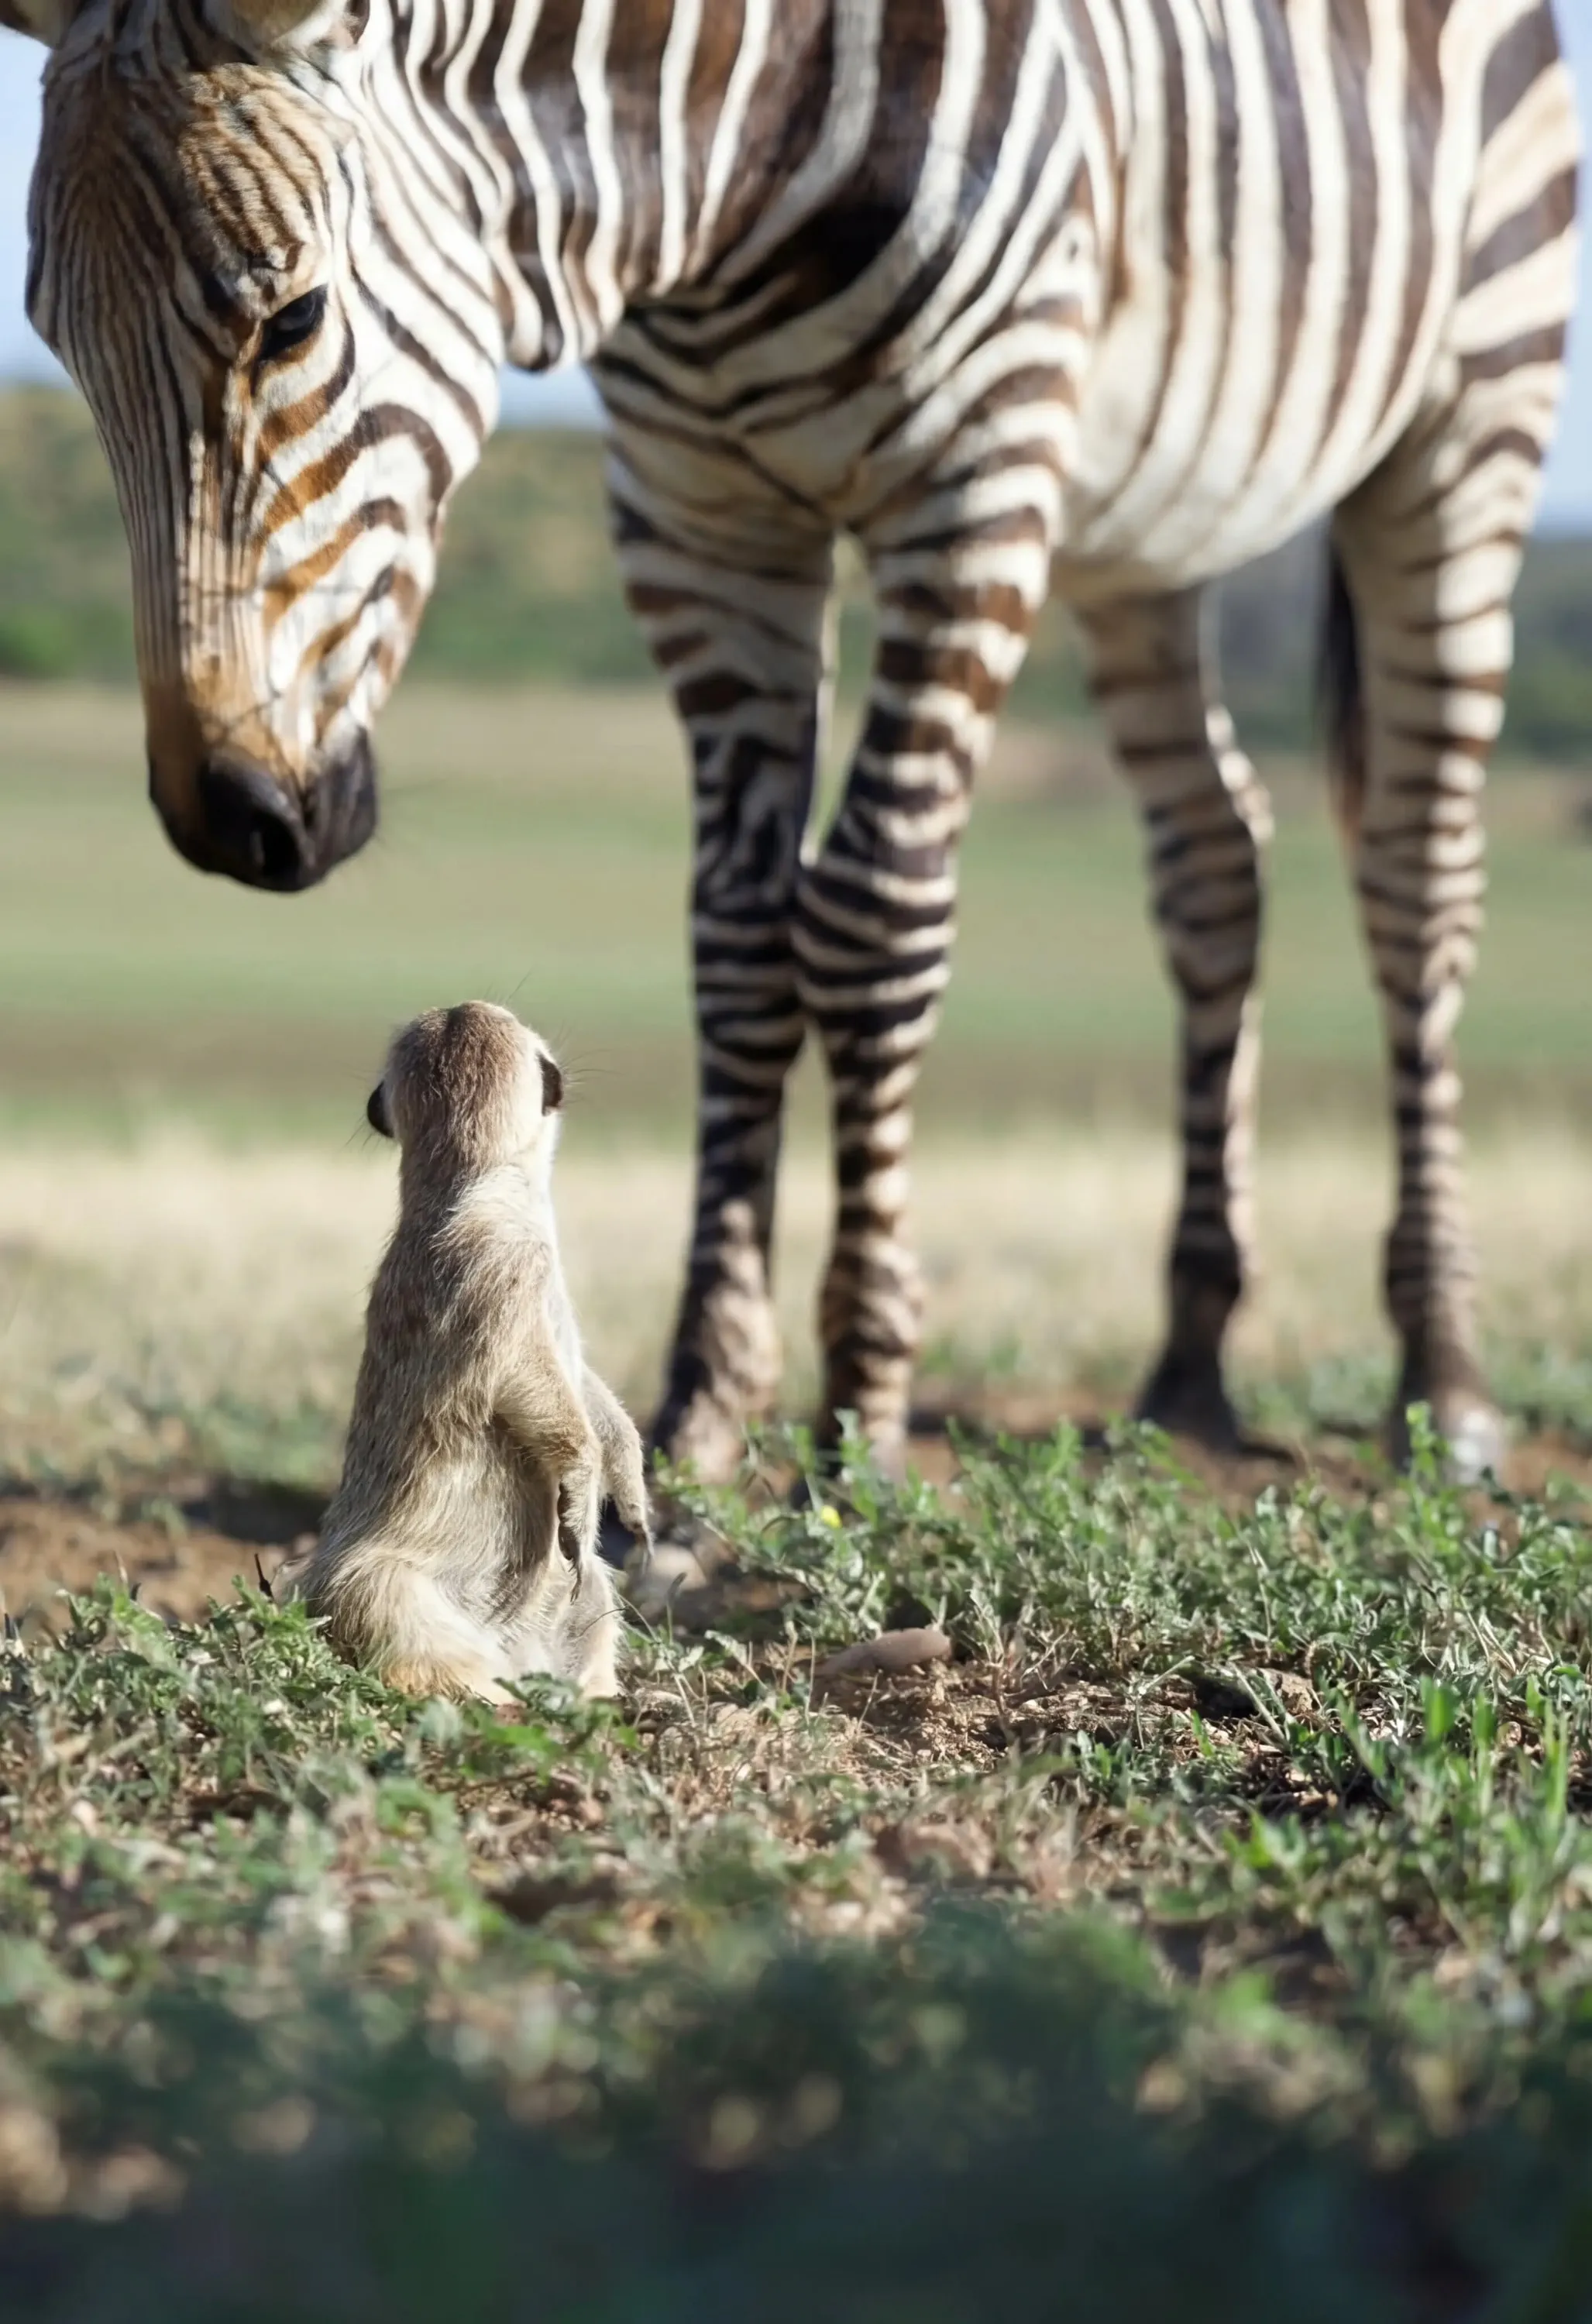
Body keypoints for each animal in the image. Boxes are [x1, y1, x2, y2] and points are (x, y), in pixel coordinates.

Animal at [2, 0, 1579, 1484]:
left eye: (294, 320)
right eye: (62, 349)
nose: (229, 818)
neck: (712, 178)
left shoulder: (971, 490)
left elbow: (872, 923)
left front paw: (863, 1407)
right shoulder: (702, 523)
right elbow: (741, 940)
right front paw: (710, 1398)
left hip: (1464, 427)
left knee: (1414, 881)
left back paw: (1443, 1378)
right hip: (1147, 530)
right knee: (1215, 863)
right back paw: (1191, 1365)